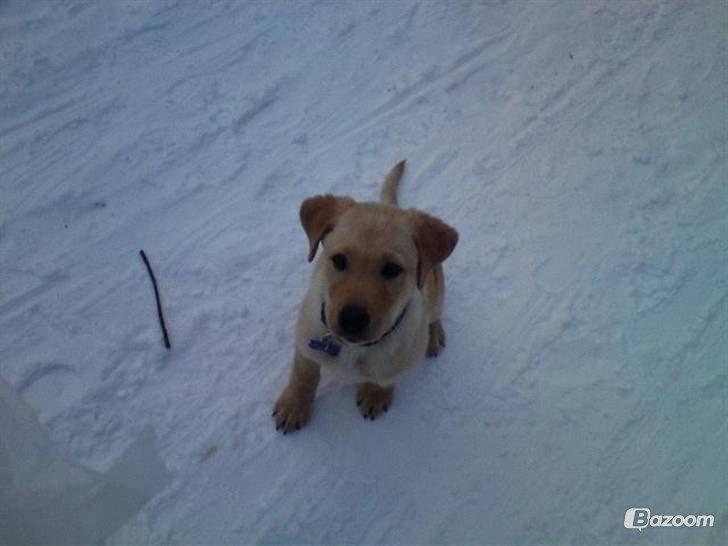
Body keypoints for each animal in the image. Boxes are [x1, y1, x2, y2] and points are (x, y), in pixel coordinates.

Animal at [270, 159, 458, 432]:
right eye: (339, 260)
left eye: (392, 269)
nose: (352, 319)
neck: (353, 348)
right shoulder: (306, 340)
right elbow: (303, 374)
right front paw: (294, 404)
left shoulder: (400, 362)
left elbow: (383, 378)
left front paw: (375, 394)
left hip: (435, 288)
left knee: (435, 314)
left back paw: (434, 335)